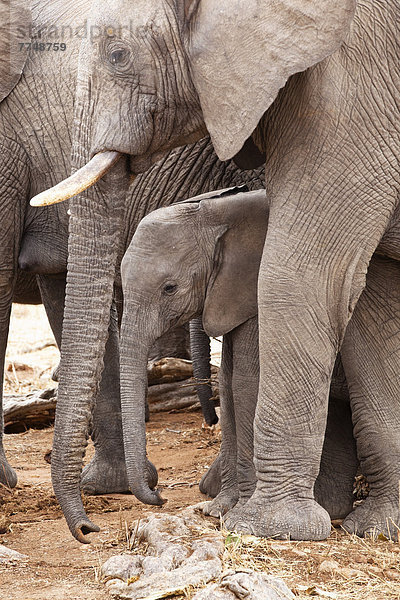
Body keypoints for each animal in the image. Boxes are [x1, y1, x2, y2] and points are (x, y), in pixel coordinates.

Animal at [118, 189, 356, 524]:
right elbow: (228, 385)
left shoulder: (254, 295)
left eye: (170, 288)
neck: (217, 213)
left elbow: (245, 383)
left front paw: (240, 511)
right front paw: (217, 508)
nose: (160, 493)